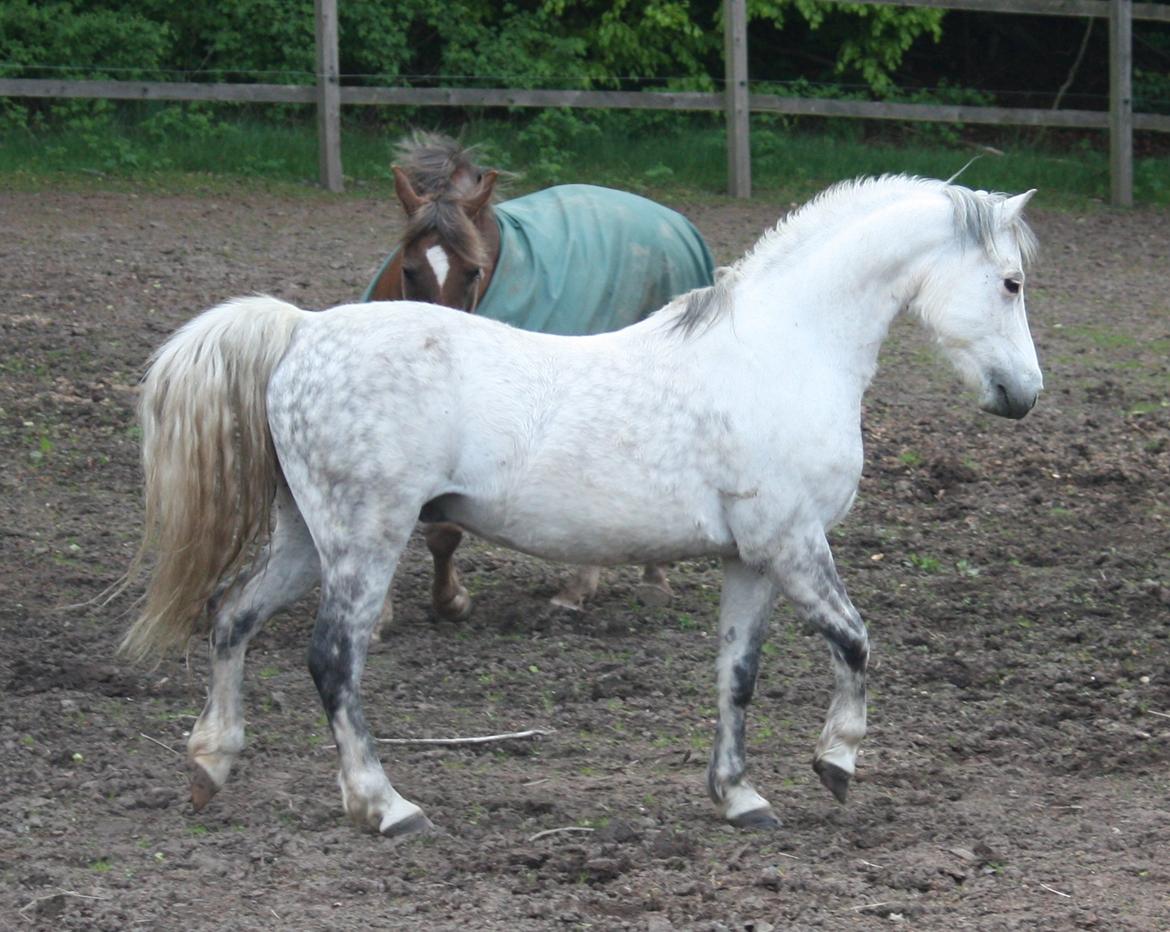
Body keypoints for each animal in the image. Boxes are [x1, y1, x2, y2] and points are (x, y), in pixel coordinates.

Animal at [123, 176, 1043, 837]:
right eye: (1010, 282)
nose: (1024, 395)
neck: (783, 348)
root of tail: (302, 330)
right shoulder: (793, 544)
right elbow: (855, 645)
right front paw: (837, 764)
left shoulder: (751, 560)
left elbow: (737, 676)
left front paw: (739, 797)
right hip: (363, 540)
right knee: (332, 660)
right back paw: (385, 807)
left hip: (305, 540)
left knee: (232, 619)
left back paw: (211, 764)